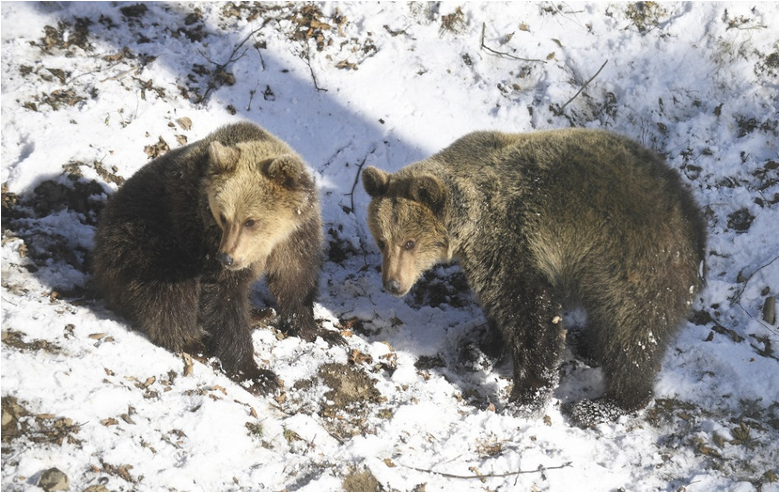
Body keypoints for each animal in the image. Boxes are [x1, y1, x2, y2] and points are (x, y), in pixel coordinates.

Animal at [91, 121, 340, 392]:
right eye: (223, 216)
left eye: (251, 221)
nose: (226, 258)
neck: (267, 245)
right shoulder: (203, 233)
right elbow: (224, 298)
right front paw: (256, 374)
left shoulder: (295, 236)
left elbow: (294, 280)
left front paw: (321, 332)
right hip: (145, 243)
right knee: (168, 295)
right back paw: (195, 343)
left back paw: (260, 313)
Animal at [364, 129, 708, 426]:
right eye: (382, 241)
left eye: (409, 242)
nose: (392, 283)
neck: (470, 221)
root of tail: (696, 226)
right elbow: (497, 307)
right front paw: (478, 351)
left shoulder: (513, 236)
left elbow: (530, 313)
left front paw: (524, 397)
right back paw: (585, 343)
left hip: (635, 265)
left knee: (630, 336)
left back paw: (602, 405)